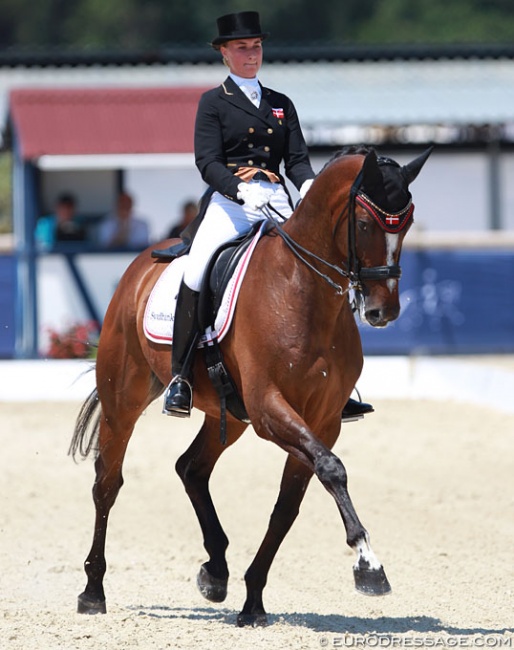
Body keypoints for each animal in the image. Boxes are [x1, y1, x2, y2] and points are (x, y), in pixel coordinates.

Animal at [68, 146, 428, 624]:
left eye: (406, 222)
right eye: (367, 223)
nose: (383, 311)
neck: (302, 290)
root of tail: (141, 266)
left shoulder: (323, 420)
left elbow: (289, 505)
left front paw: (253, 600)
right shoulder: (268, 408)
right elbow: (333, 469)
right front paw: (369, 565)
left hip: (228, 415)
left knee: (191, 468)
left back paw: (215, 572)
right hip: (123, 400)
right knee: (107, 483)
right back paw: (93, 591)